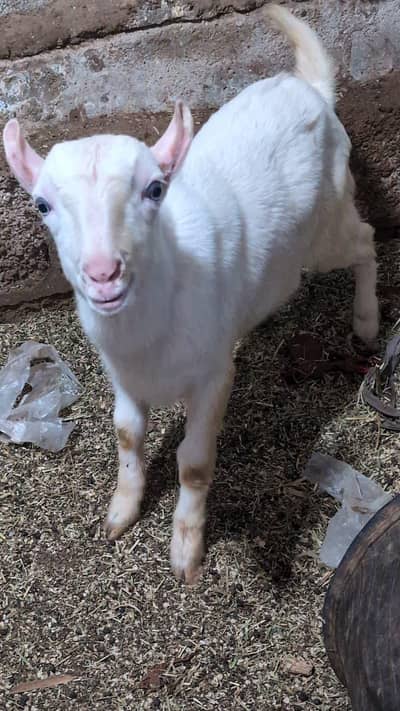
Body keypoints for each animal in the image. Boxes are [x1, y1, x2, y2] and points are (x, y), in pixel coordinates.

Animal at [3, 5, 379, 583]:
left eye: (155, 189)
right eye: (42, 204)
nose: (103, 274)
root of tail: (312, 88)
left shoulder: (212, 375)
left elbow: (196, 464)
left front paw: (186, 554)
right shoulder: (122, 373)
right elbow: (126, 434)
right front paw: (120, 514)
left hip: (328, 223)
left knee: (365, 241)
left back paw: (367, 322)